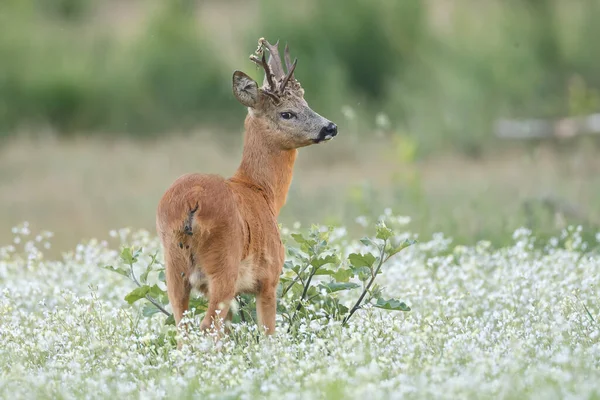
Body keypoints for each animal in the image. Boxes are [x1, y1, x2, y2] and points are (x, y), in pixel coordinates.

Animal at [155, 38, 338, 344]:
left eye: (306, 103)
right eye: (287, 113)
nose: (330, 127)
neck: (263, 192)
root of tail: (191, 203)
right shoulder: (269, 278)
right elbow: (269, 333)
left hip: (174, 269)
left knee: (183, 328)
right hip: (223, 266)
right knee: (207, 326)